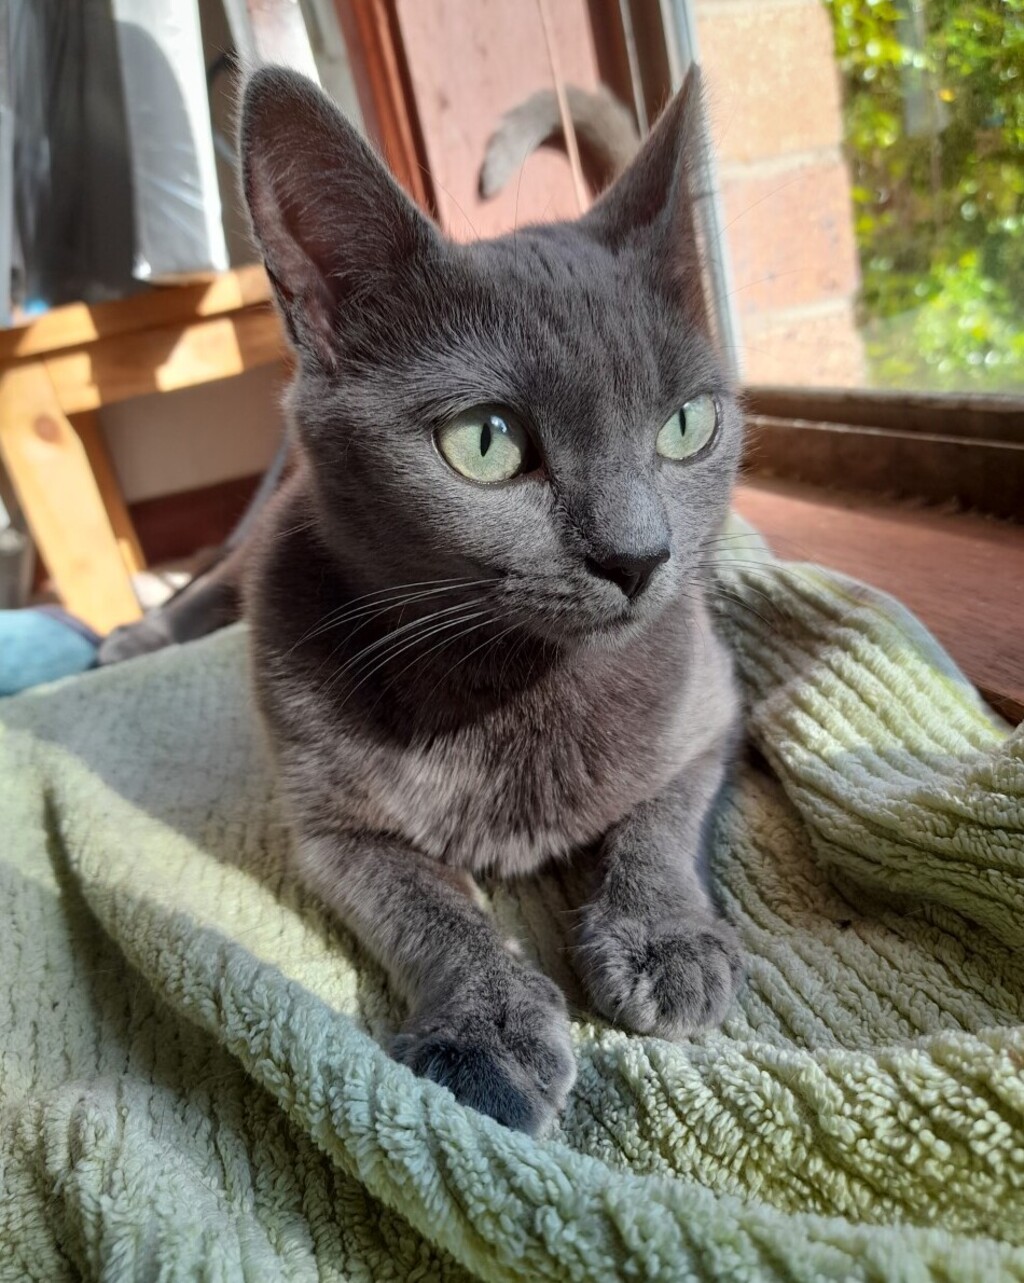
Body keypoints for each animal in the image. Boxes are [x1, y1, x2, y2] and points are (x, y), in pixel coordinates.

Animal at [111, 66, 745, 1135]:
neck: (514, 682)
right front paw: (487, 1032)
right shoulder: (329, 824)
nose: (640, 554)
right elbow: (430, 908)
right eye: (485, 441)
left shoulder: (713, 702)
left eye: (688, 425)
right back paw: (135, 634)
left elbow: (660, 819)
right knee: (217, 575)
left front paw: (666, 943)